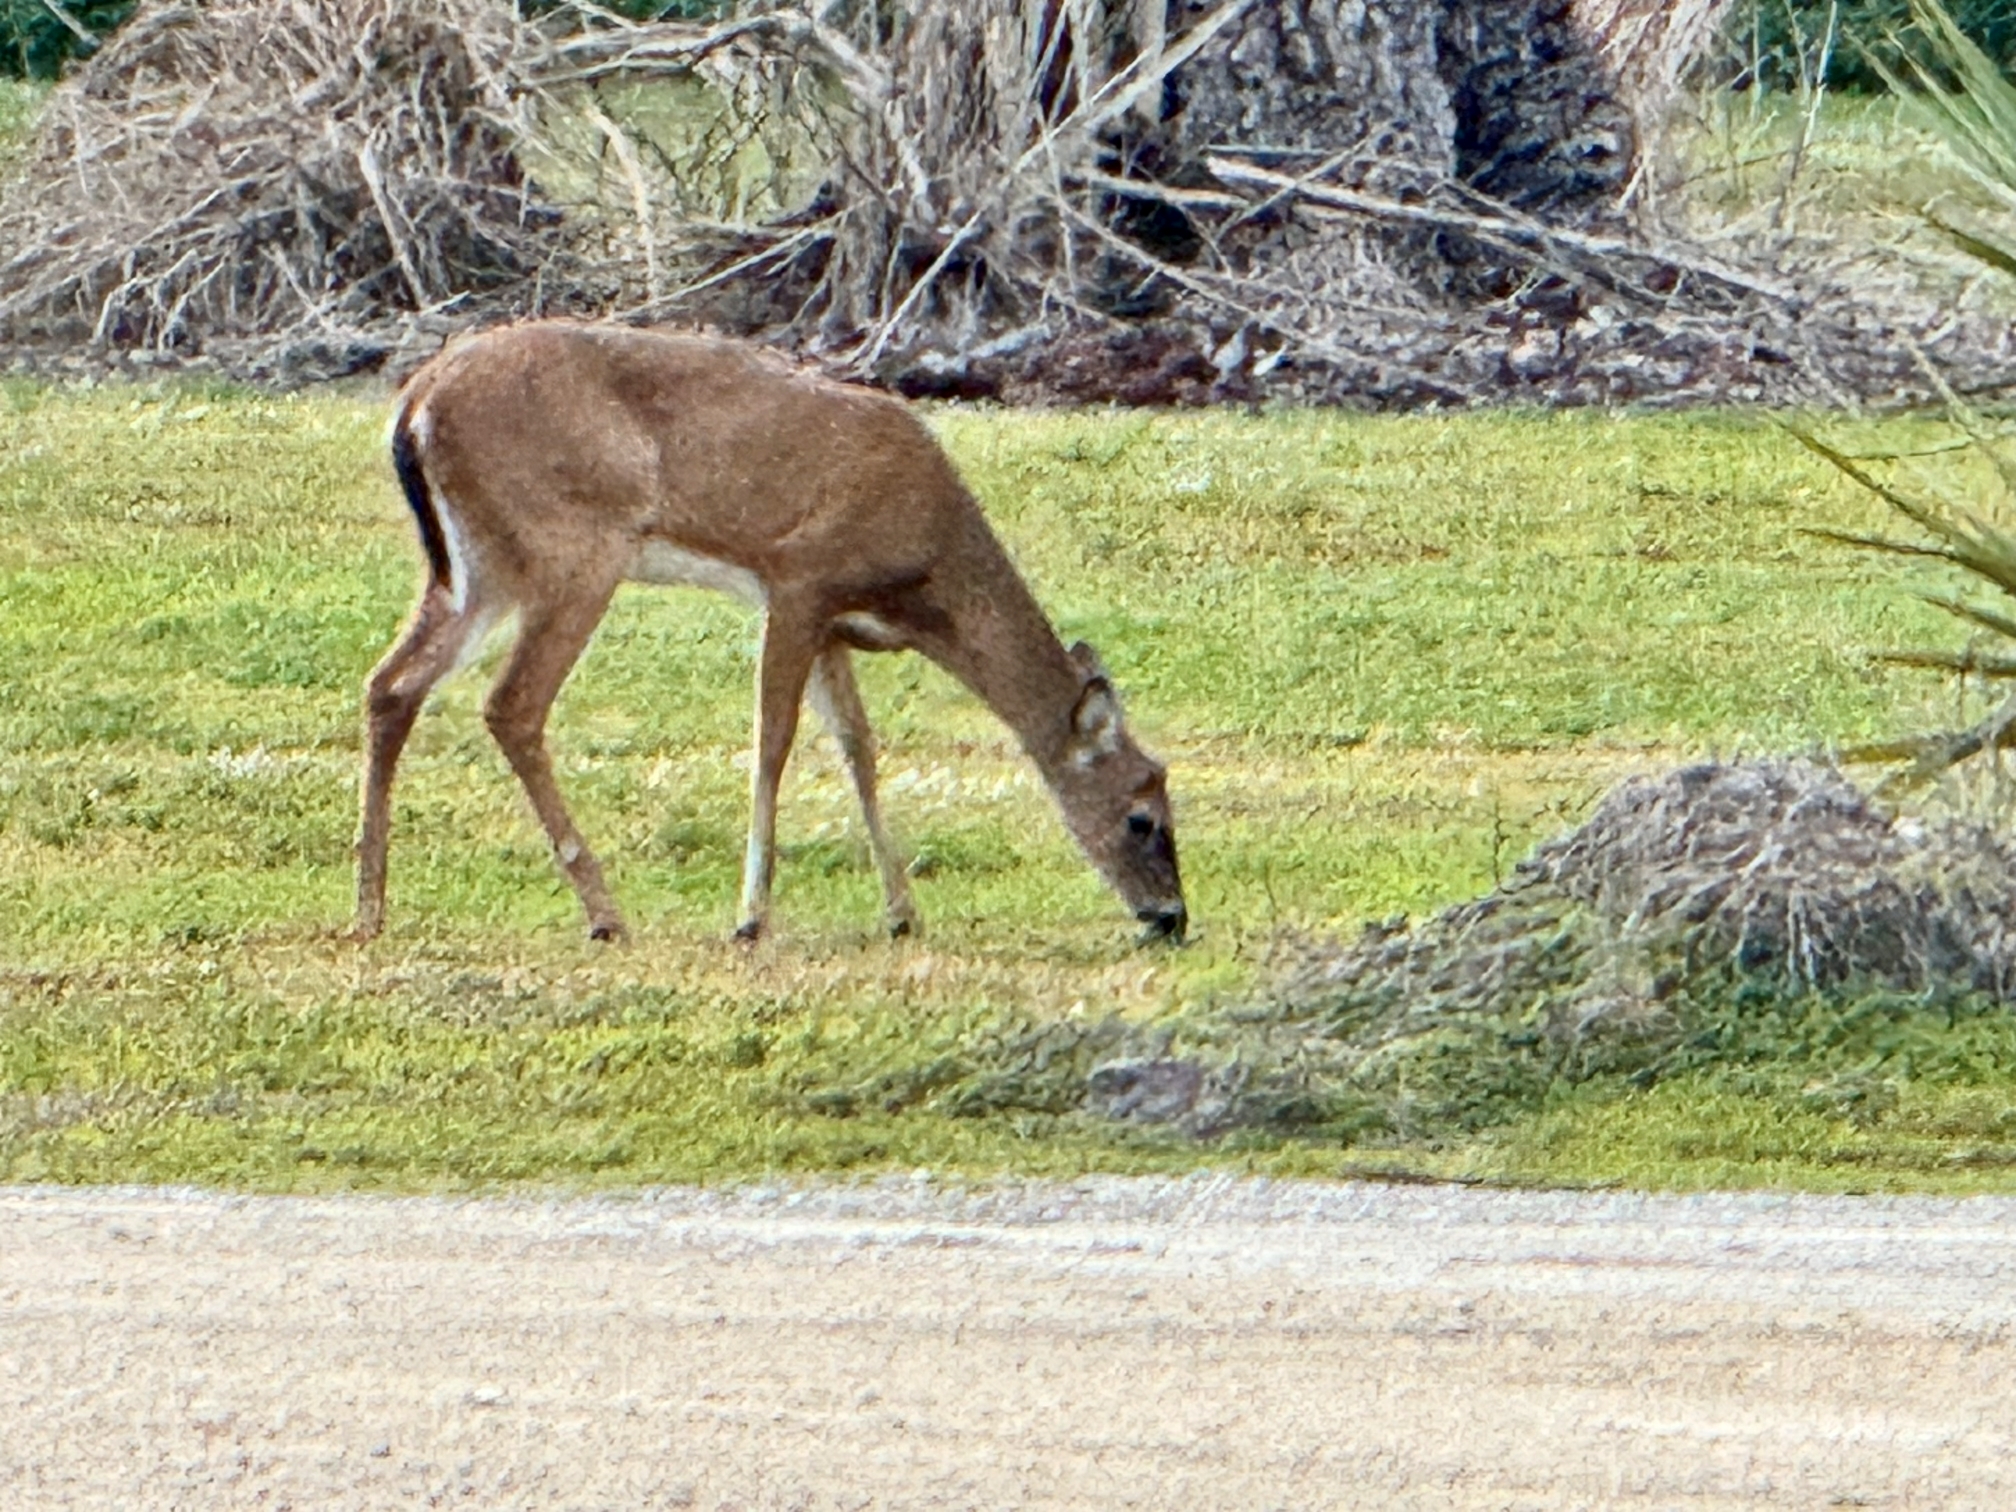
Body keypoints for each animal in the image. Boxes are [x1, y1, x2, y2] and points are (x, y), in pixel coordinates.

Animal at [352, 320, 1186, 946]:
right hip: (574, 549)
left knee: (392, 683)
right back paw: (604, 914)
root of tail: (416, 403)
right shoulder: (796, 581)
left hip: (477, 569)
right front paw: (752, 917)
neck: (927, 572)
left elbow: (858, 746)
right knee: (512, 705)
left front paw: (902, 912)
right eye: (1143, 818)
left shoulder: (834, 622)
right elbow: (775, 740)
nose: (1172, 919)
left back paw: (370, 905)